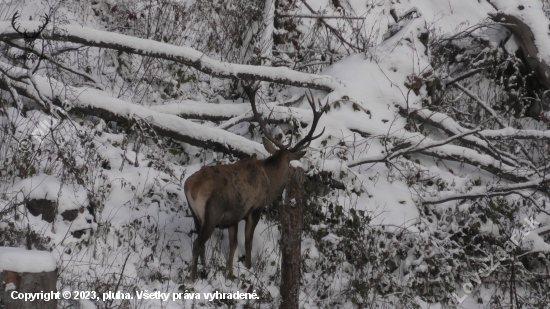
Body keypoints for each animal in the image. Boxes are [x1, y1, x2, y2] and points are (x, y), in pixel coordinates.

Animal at [185, 82, 328, 282]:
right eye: (289, 163)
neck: (269, 181)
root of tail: (191, 187)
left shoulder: (234, 216)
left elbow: (233, 244)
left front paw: (230, 272)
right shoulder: (255, 208)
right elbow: (248, 242)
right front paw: (248, 268)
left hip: (196, 215)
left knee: (200, 242)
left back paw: (204, 270)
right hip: (212, 211)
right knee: (198, 243)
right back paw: (192, 279)